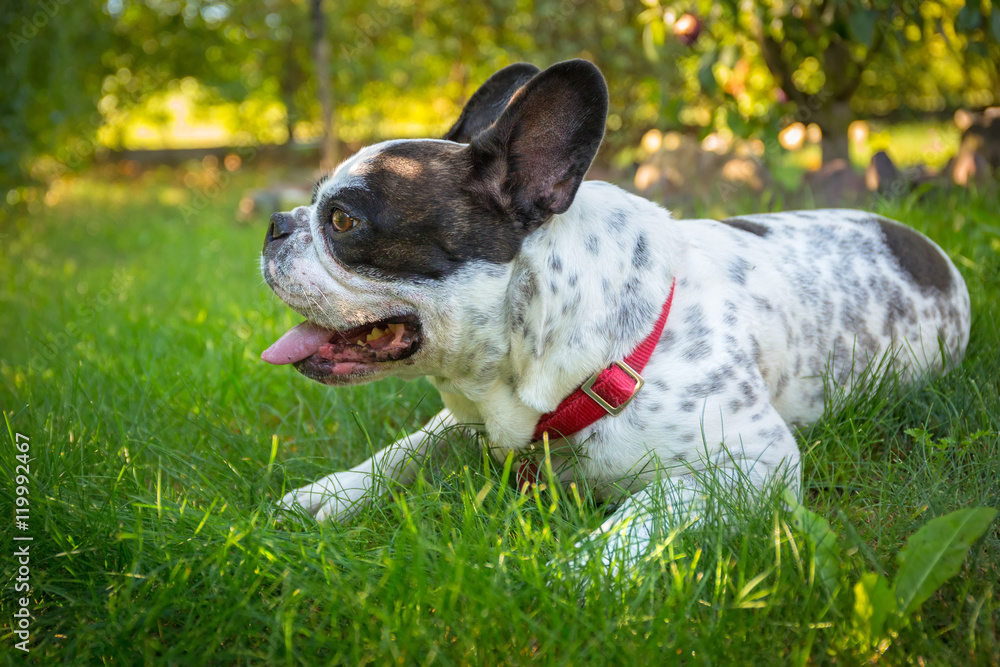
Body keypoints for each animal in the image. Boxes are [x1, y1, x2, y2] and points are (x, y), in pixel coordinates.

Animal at [258, 61, 968, 568]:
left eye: (342, 221)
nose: (276, 224)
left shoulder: (752, 463)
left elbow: (646, 513)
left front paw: (573, 580)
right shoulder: (466, 420)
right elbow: (402, 448)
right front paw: (325, 496)